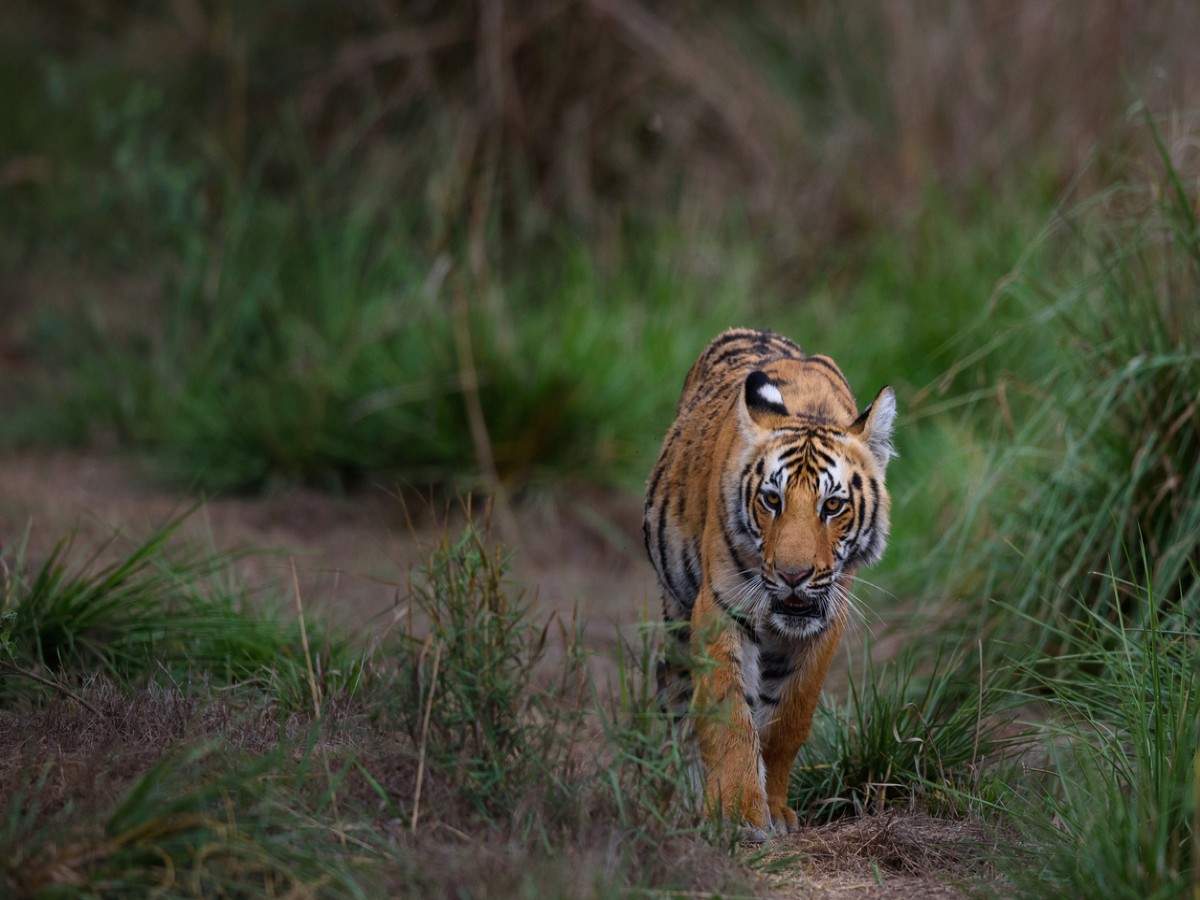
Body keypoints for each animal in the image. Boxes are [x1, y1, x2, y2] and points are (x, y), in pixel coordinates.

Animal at [643, 328, 897, 844]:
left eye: (833, 505)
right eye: (772, 500)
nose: (793, 574)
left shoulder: (824, 624)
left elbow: (786, 721)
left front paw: (774, 809)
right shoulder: (720, 610)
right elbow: (730, 717)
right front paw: (738, 813)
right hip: (677, 615)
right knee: (675, 698)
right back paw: (681, 798)